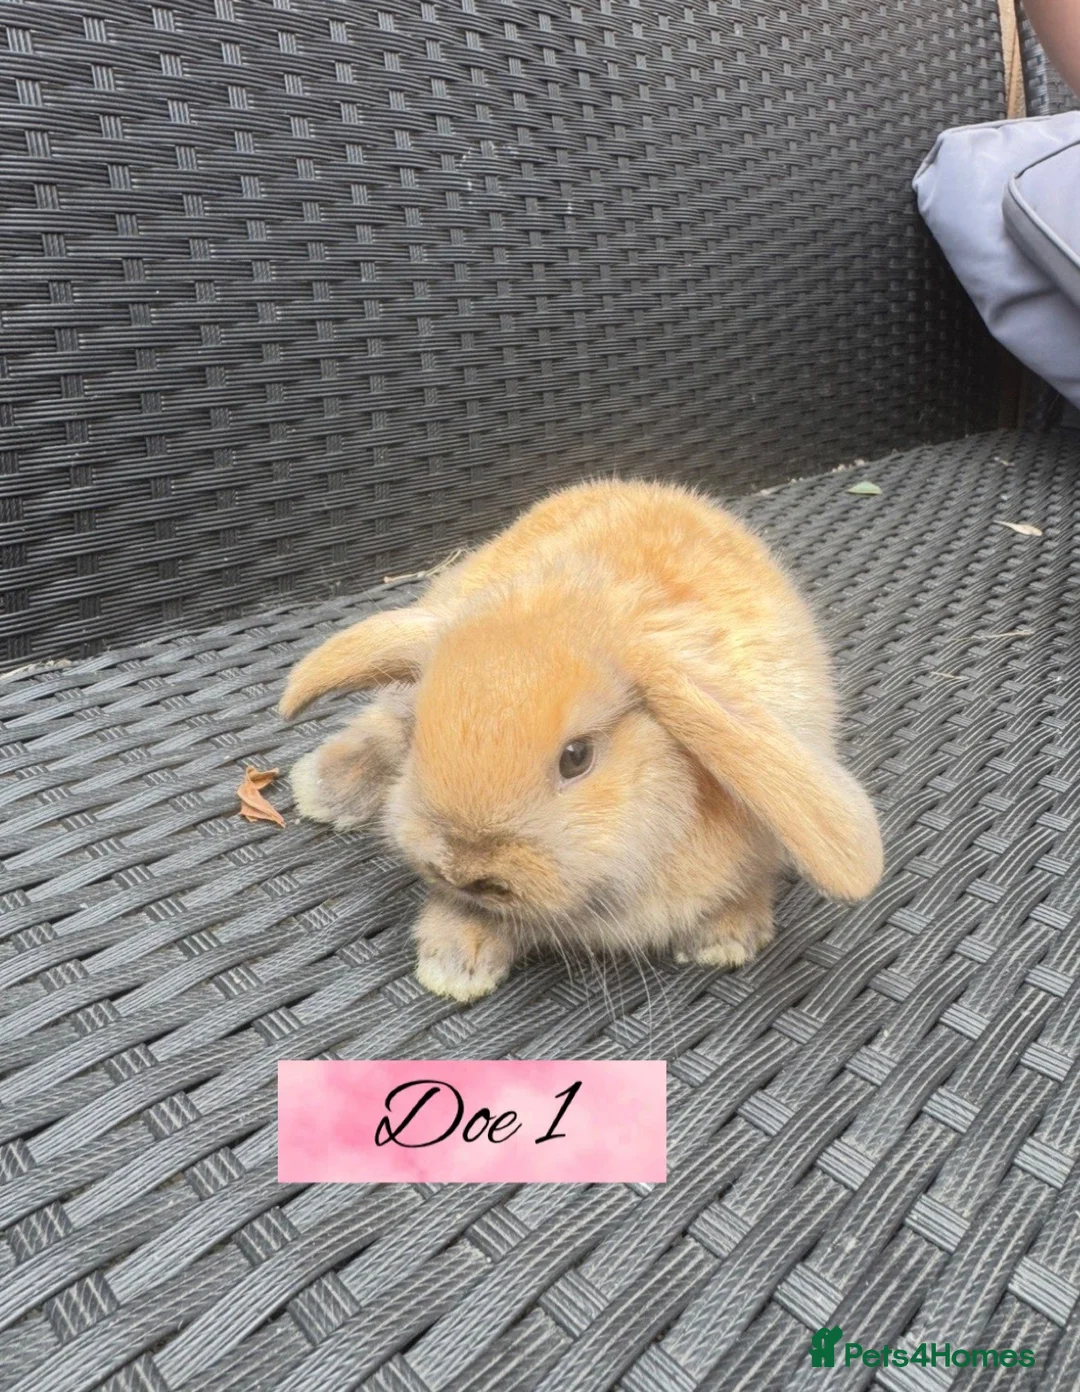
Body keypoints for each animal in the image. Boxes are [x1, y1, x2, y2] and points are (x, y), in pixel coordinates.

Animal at [279, 479, 883, 1002]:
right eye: (422, 736)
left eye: (577, 757)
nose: (466, 867)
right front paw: (453, 964)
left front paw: (726, 940)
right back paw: (325, 788)